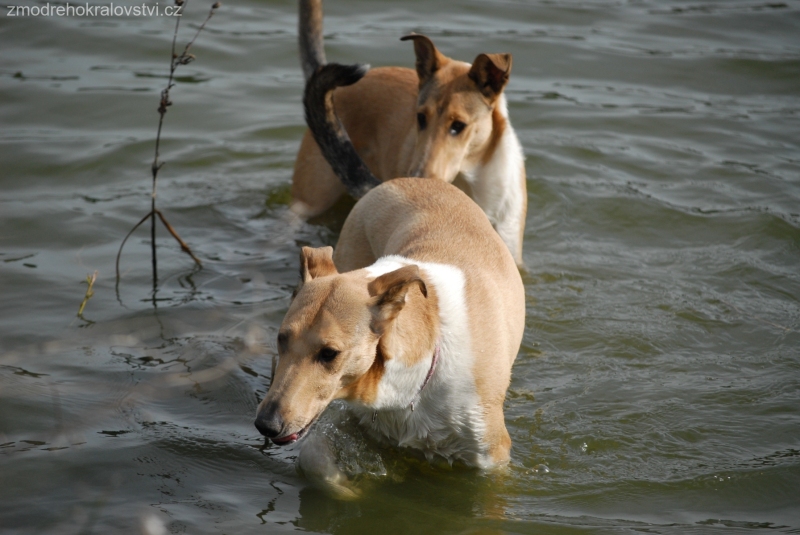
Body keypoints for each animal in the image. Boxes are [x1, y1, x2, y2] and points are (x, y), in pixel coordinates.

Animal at [256, 63, 524, 498]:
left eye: (329, 353)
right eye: (281, 338)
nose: (265, 424)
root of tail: (394, 181)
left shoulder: (493, 459)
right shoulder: (355, 417)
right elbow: (313, 457)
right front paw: (353, 491)